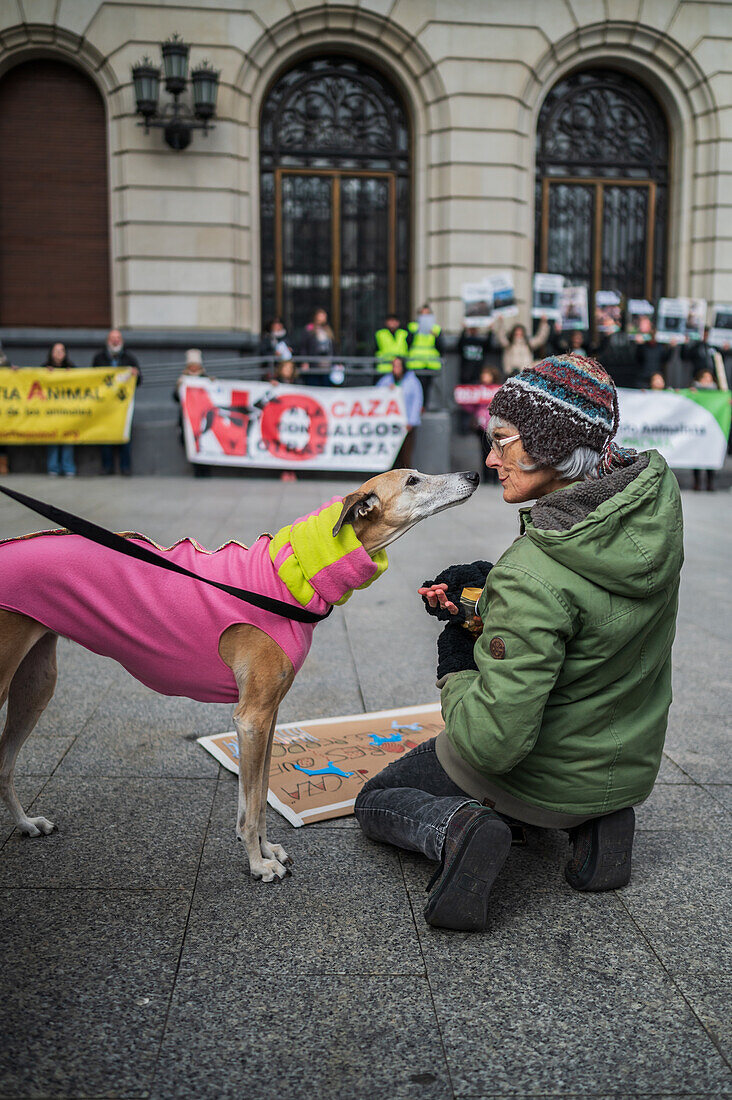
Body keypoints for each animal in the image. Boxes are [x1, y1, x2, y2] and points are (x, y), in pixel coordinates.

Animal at [0, 468, 477, 880]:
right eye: (413, 480)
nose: (473, 475)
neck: (289, 578)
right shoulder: (251, 718)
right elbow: (250, 805)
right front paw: (258, 865)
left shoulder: (268, 718)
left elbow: (258, 800)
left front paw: (267, 851)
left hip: (37, 682)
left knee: (5, 763)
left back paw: (26, 824)